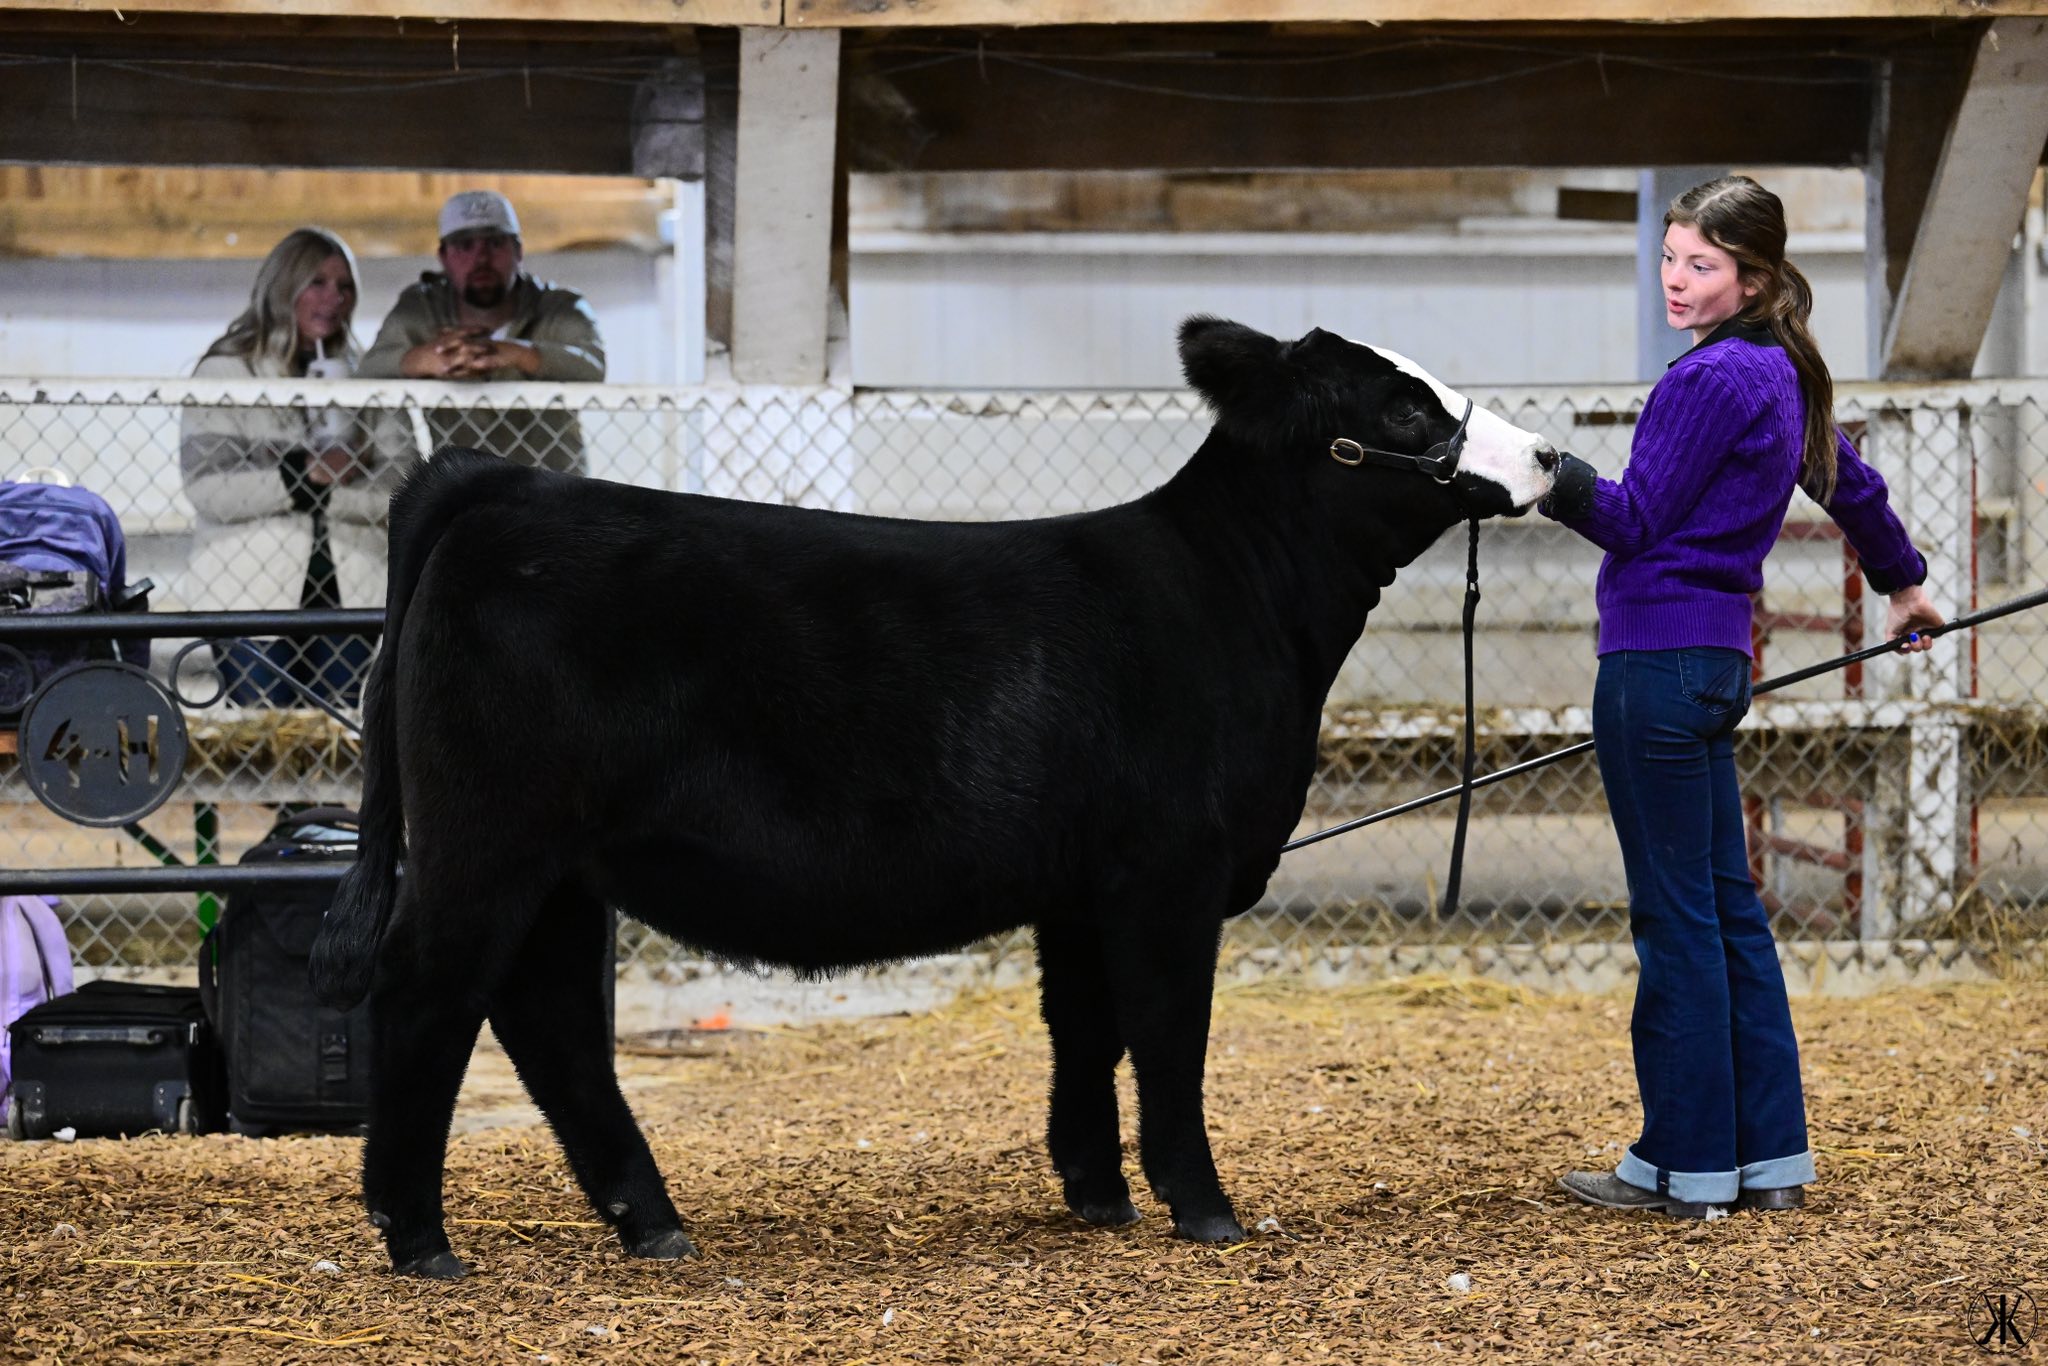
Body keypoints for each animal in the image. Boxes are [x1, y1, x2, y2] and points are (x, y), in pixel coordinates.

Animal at [308, 316, 1559, 1278]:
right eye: (1400, 410)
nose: (1549, 454)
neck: (1232, 596)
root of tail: (498, 483)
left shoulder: (1082, 883)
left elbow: (1084, 1028)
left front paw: (1096, 1192)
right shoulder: (1170, 868)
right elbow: (1167, 1031)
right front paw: (1201, 1206)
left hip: (563, 864)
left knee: (548, 1016)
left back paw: (650, 1222)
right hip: (488, 839)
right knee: (430, 991)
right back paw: (418, 1236)